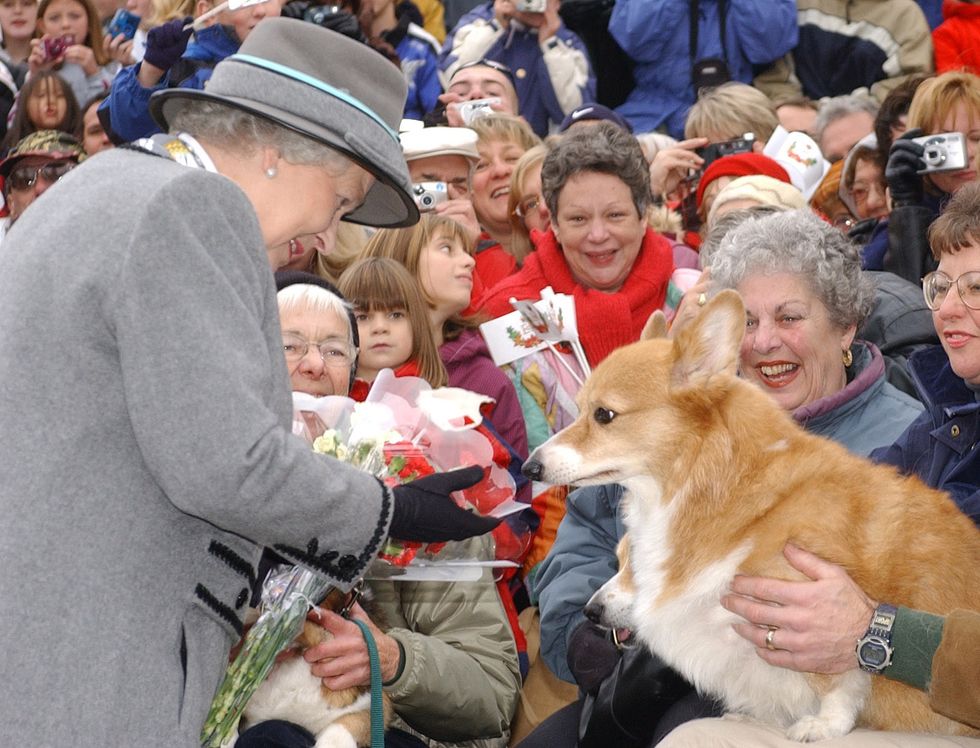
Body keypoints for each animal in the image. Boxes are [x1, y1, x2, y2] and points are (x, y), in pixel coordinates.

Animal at [524, 290, 980, 740]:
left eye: (604, 414)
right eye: (579, 409)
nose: (530, 468)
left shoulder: (813, 612)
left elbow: (840, 681)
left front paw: (824, 723)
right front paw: (759, 719)